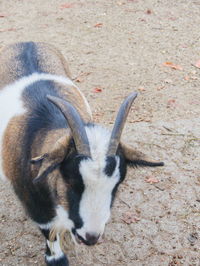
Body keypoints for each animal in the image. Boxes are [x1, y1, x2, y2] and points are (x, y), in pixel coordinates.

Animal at [0, 42, 164, 266]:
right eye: (70, 182)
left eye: (117, 185)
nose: (91, 237)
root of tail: (26, 42)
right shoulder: (36, 207)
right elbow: (48, 230)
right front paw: (56, 258)